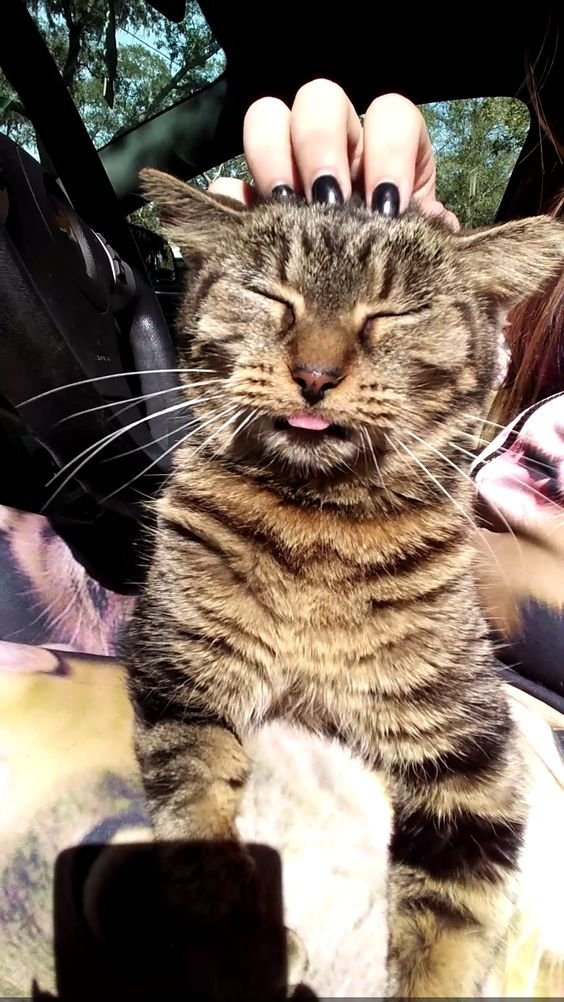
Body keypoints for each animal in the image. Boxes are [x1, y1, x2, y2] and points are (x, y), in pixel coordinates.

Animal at [122, 168, 564, 997]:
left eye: (394, 313)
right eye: (271, 295)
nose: (316, 374)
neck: (319, 519)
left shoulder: (471, 753)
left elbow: (452, 920)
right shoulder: (179, 668)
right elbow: (198, 802)